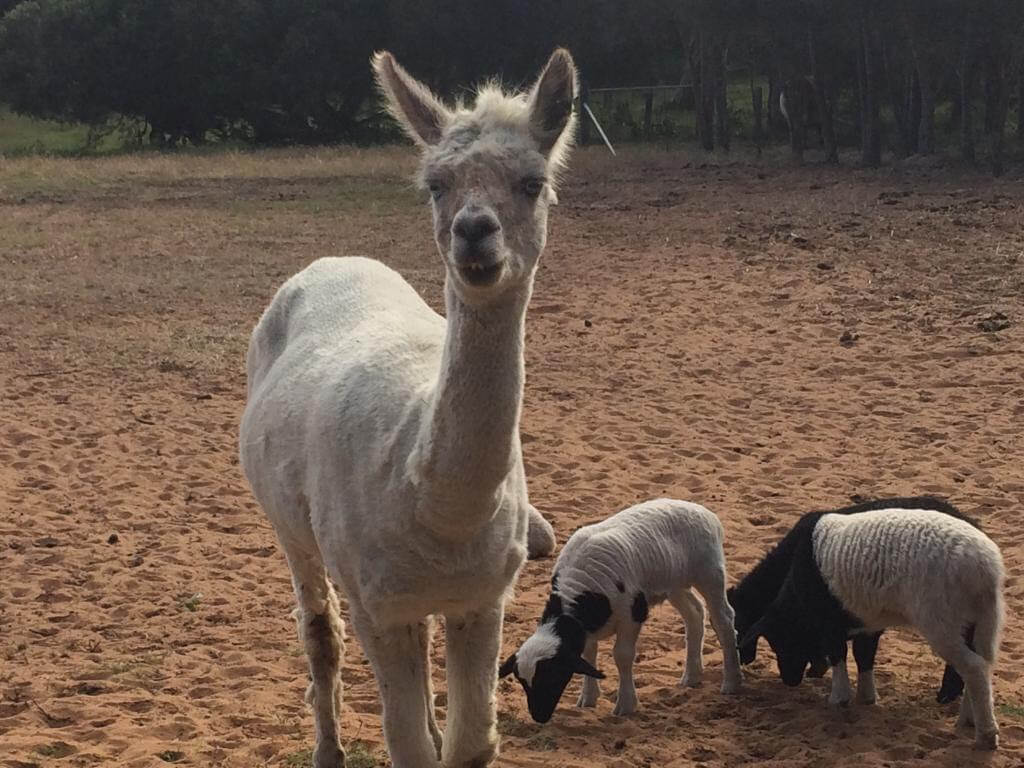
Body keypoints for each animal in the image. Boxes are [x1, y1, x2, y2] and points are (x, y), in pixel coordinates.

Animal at [499, 501, 741, 724]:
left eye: (552, 676)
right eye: (522, 682)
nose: (538, 717)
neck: (585, 595)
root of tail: (705, 512)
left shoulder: (632, 615)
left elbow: (622, 656)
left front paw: (625, 704)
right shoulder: (587, 627)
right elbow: (589, 655)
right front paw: (588, 698)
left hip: (710, 572)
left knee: (724, 620)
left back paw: (731, 681)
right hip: (674, 583)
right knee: (695, 614)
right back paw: (691, 676)